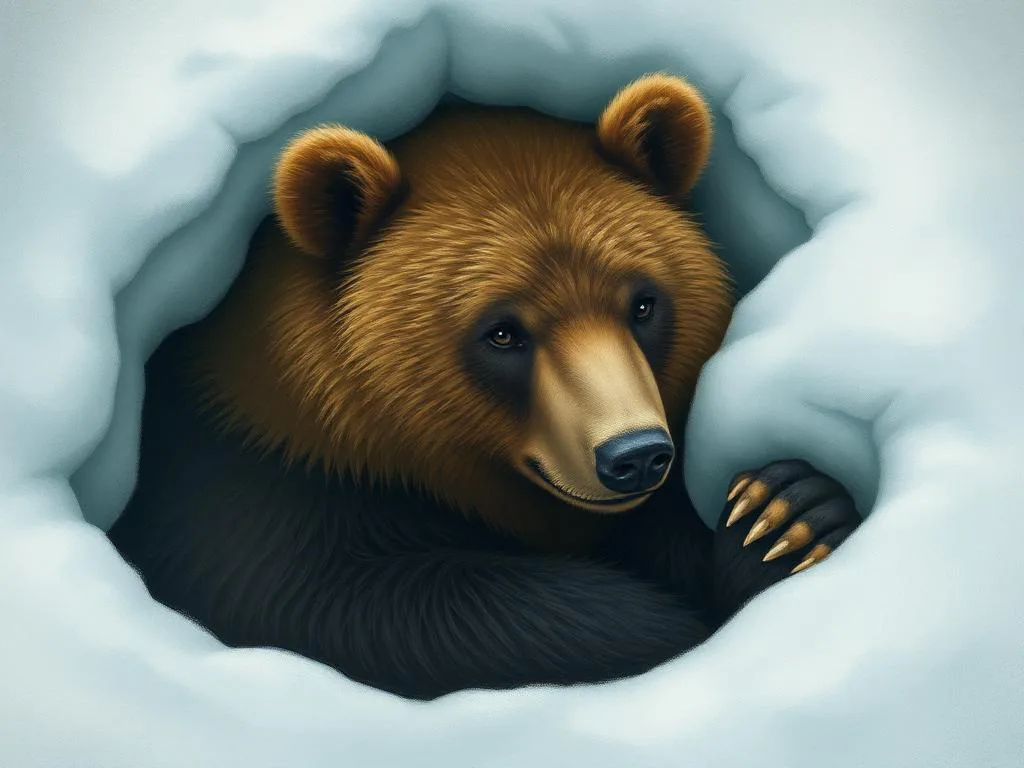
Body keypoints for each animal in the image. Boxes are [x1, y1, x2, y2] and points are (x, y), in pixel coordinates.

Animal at [109, 73, 862, 701]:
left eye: (644, 304)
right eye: (502, 332)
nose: (634, 455)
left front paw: (786, 514)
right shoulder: (257, 507)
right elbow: (417, 614)